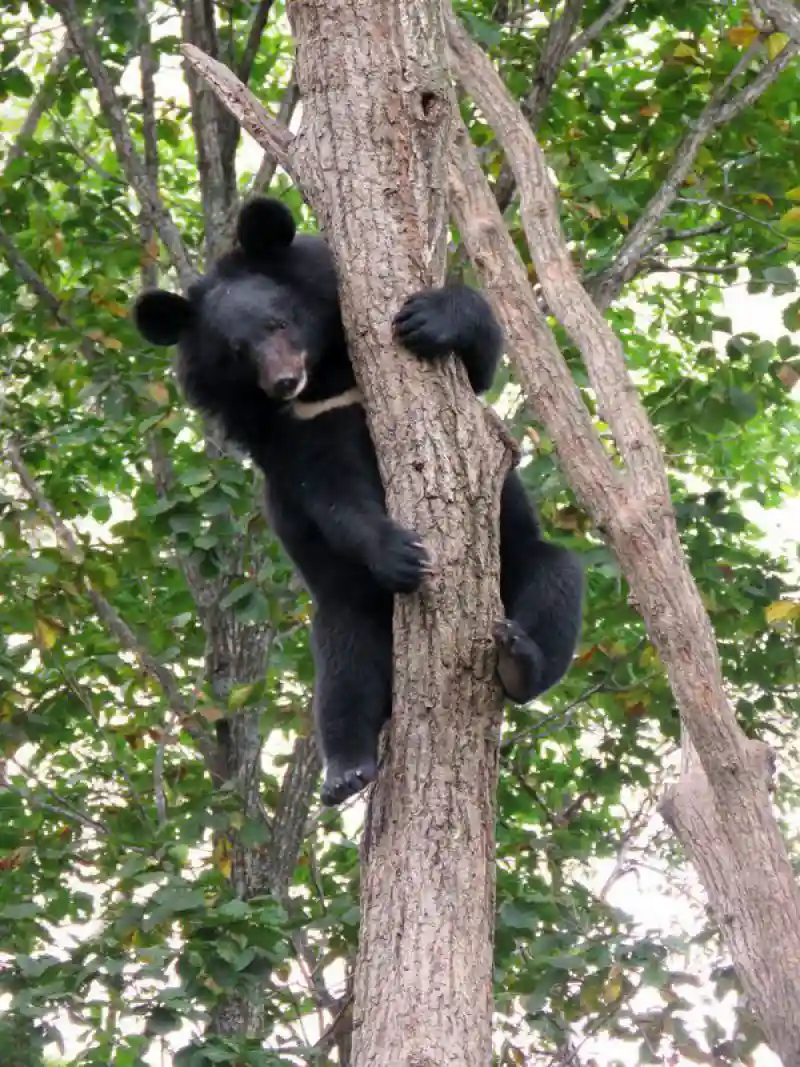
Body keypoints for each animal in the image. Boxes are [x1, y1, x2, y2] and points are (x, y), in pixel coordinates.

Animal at [131, 196, 584, 802]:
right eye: (237, 351)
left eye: (279, 321)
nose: (283, 380)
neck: (326, 374)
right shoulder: (298, 426)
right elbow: (330, 491)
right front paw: (401, 551)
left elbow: (479, 367)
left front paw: (429, 319)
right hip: (348, 602)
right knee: (344, 658)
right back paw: (347, 769)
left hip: (516, 561)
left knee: (556, 578)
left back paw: (519, 661)